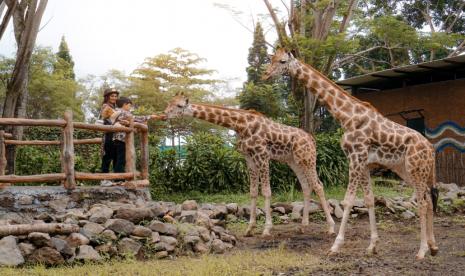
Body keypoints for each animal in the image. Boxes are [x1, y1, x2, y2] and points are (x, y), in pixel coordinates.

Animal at [163, 94, 334, 237]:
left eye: (179, 105)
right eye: (169, 103)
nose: (164, 114)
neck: (239, 124)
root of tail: (312, 139)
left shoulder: (263, 156)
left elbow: (266, 191)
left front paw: (267, 229)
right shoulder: (249, 159)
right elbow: (253, 192)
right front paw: (249, 228)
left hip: (307, 158)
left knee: (318, 185)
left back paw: (331, 228)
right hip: (294, 161)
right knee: (306, 186)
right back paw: (303, 226)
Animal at [260, 48, 438, 260]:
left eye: (282, 61)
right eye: (271, 59)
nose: (265, 74)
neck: (347, 116)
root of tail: (431, 149)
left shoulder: (355, 158)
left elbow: (348, 201)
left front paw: (336, 246)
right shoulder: (364, 163)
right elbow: (369, 200)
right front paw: (372, 246)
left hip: (415, 169)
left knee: (423, 203)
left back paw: (422, 250)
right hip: (409, 171)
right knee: (428, 200)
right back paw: (433, 246)